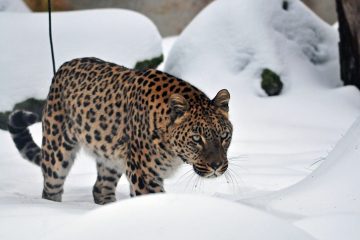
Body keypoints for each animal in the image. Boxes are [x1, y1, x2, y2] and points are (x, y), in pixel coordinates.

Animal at [9, 56, 233, 204]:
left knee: (100, 188)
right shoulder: (145, 175)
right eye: (196, 138)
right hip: (57, 152)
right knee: (51, 188)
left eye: (224, 136)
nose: (216, 166)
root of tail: (63, 66)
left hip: (111, 158)